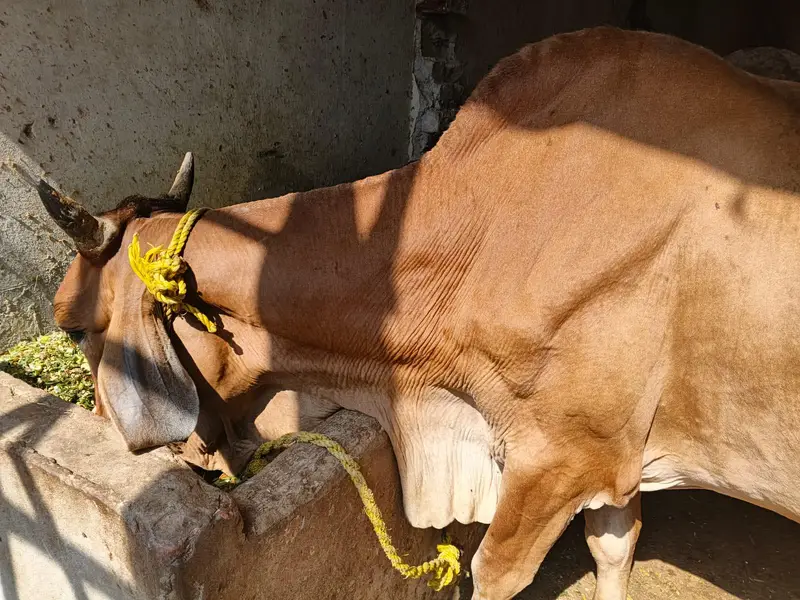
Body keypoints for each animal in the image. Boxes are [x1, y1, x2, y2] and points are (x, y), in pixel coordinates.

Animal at [34, 26, 800, 600]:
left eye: (72, 325)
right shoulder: (612, 455)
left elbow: (494, 574)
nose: (98, 425)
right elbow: (614, 552)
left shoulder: (558, 459)